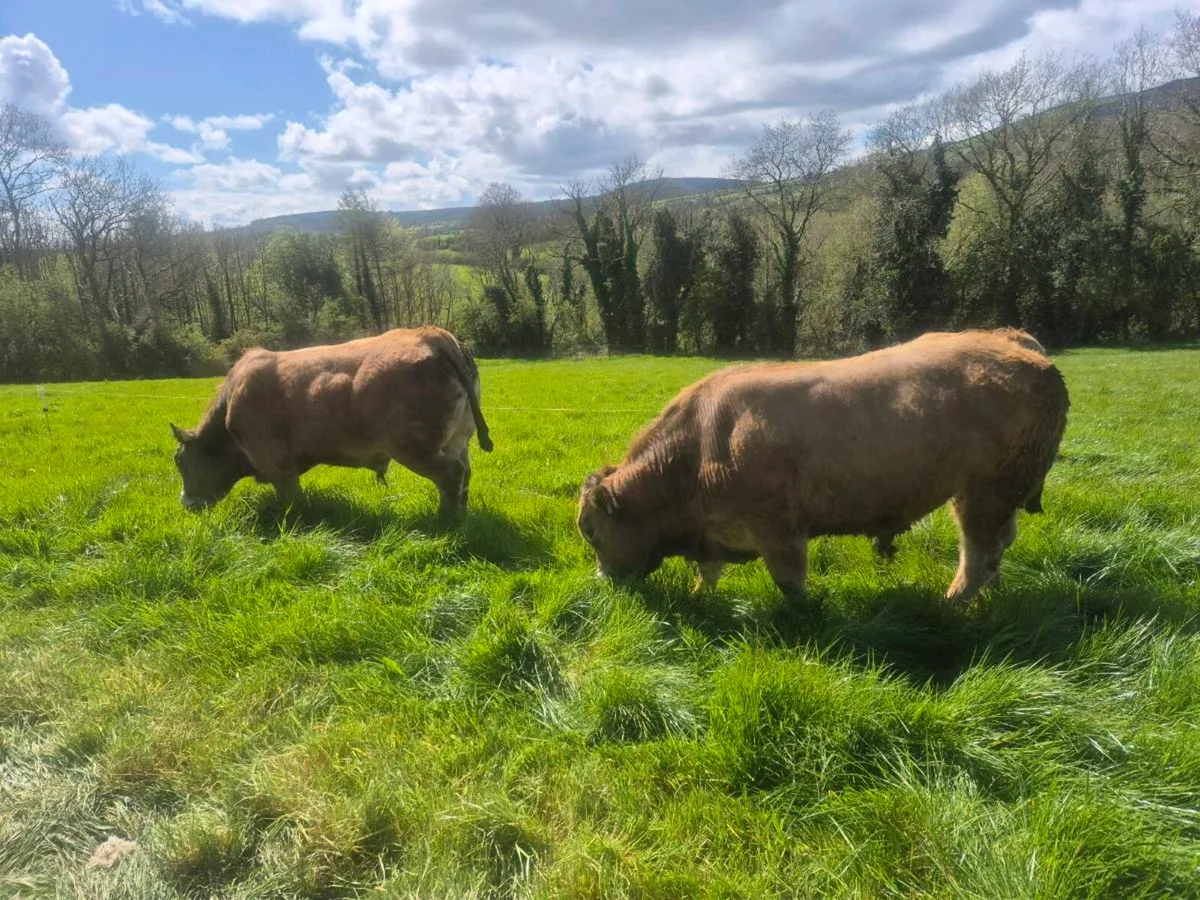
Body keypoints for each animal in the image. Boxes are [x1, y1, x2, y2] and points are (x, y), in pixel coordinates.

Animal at [170, 326, 493, 515]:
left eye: (181, 463)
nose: (185, 503)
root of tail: (432, 335)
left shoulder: (276, 466)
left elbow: (292, 499)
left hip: (415, 448)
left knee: (451, 474)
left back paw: (446, 521)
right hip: (457, 441)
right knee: (464, 472)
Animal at [577, 328, 1069, 604]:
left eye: (591, 531)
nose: (602, 581)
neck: (698, 451)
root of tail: (1014, 343)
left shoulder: (779, 532)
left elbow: (791, 587)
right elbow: (708, 571)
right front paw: (701, 597)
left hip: (986, 493)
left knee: (978, 554)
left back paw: (952, 605)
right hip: (993, 496)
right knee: (998, 547)